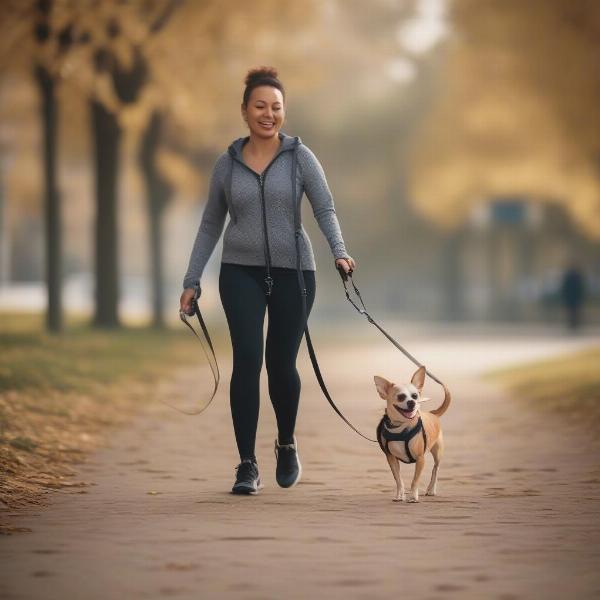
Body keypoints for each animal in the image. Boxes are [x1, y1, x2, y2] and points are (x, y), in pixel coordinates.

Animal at [376, 366, 450, 502]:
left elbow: (415, 481)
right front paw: (399, 496)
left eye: (415, 396)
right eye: (400, 397)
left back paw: (431, 490)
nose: (412, 402)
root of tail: (432, 413)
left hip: (438, 452)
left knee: (435, 469)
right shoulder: (391, 458)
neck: (401, 427)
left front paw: (413, 497)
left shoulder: (420, 459)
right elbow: (399, 480)